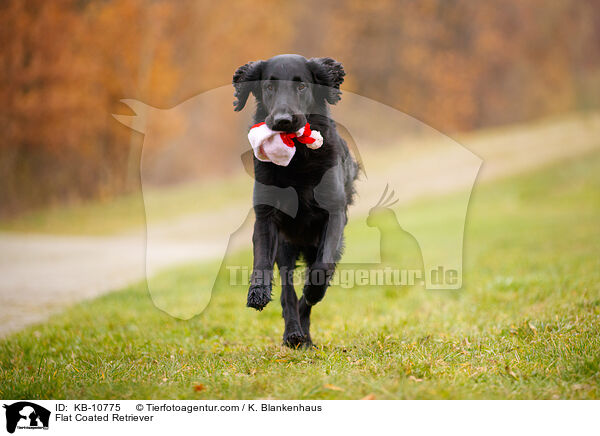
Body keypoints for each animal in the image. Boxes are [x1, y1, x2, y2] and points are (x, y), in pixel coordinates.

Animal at [232, 54, 358, 348]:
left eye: (301, 86)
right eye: (269, 87)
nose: (283, 120)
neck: (298, 160)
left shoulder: (334, 213)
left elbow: (321, 270)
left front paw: (313, 291)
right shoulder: (266, 216)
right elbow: (261, 261)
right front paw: (257, 292)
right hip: (286, 247)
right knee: (287, 293)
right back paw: (293, 333)